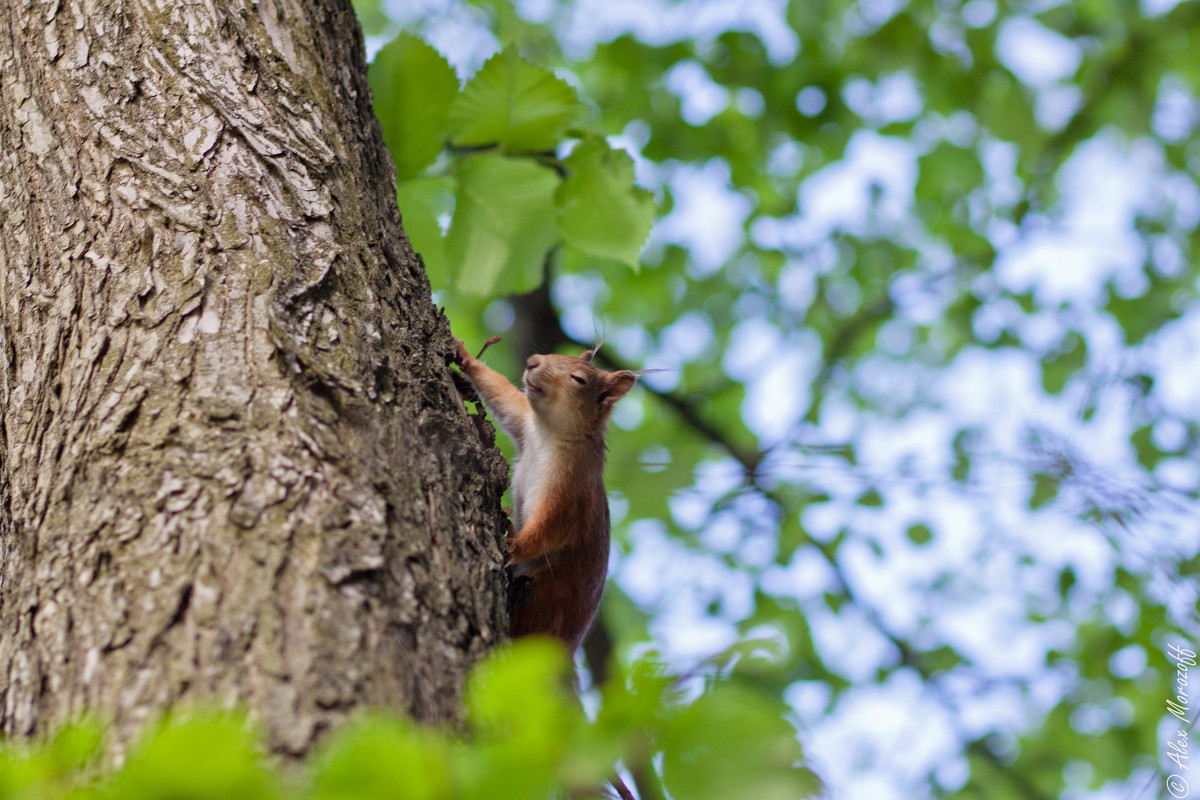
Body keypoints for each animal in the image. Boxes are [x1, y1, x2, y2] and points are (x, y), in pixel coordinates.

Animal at [451, 335, 638, 652]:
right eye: (556, 356)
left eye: (579, 379)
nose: (533, 362)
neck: (550, 430)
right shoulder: (525, 421)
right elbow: (501, 392)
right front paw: (464, 354)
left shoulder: (571, 485)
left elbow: (550, 526)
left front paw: (512, 545)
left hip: (546, 601)